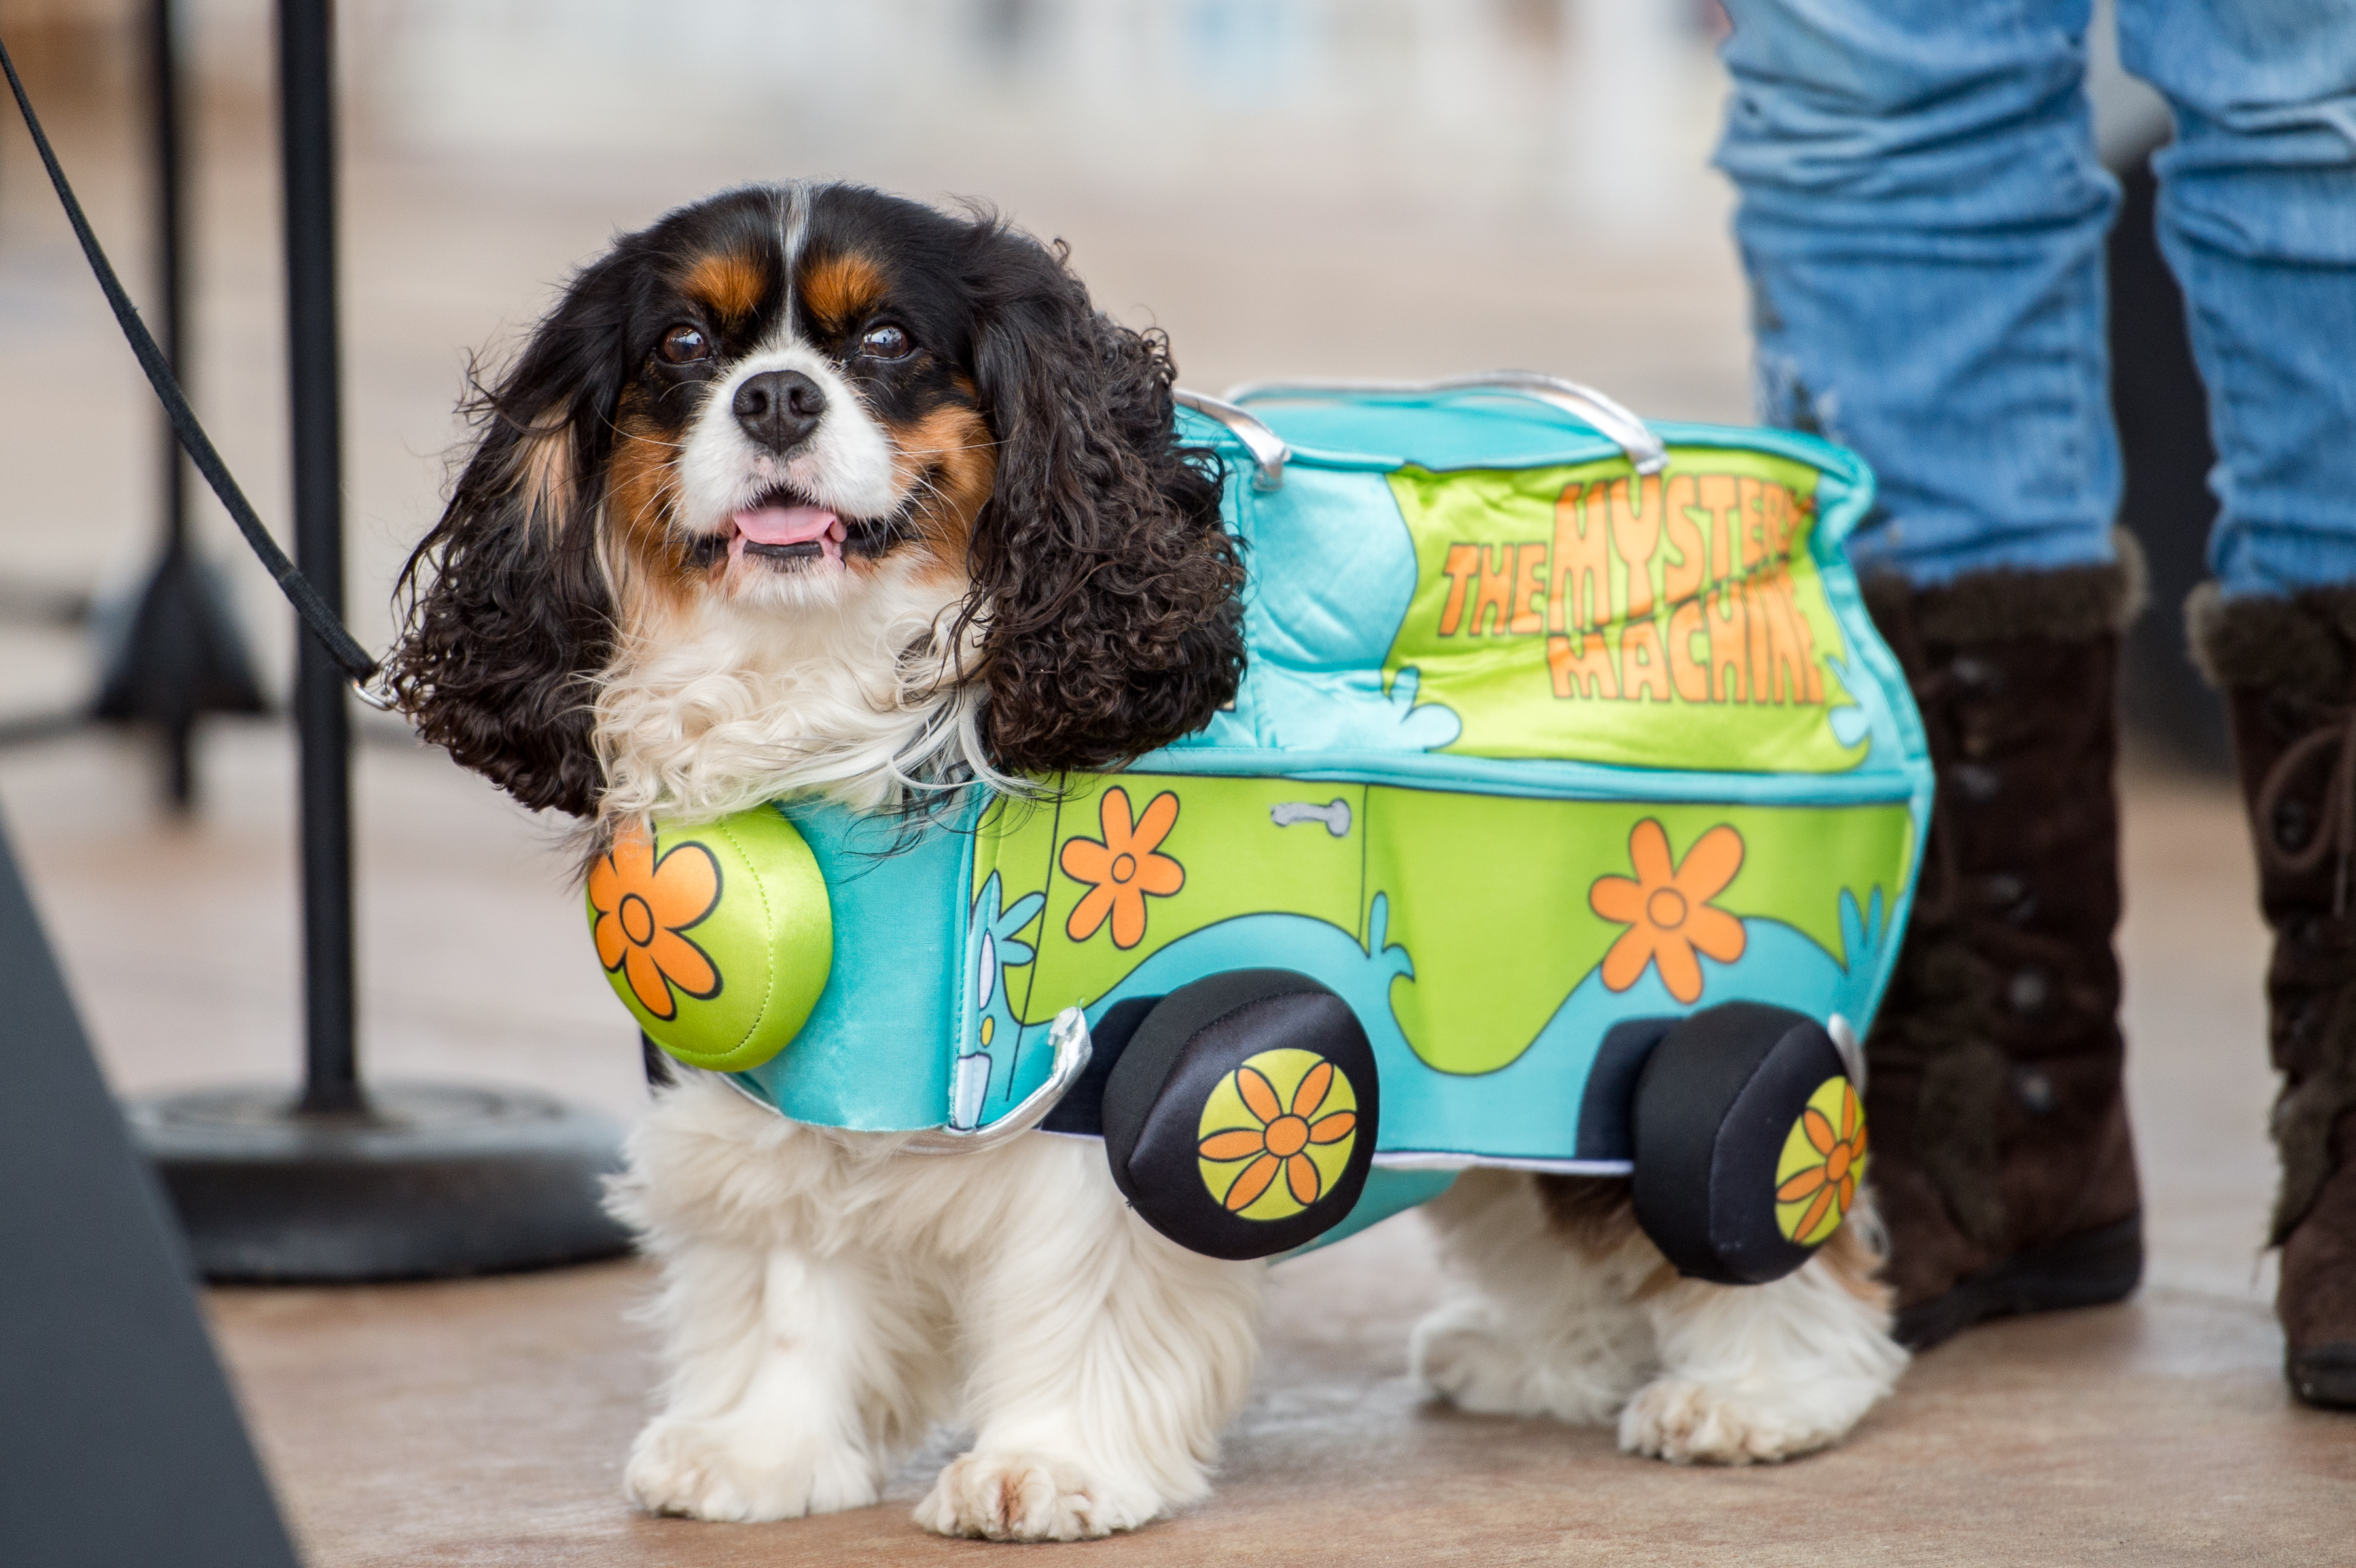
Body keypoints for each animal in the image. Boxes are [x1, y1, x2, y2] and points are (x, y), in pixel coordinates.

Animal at [382, 176, 1894, 1535]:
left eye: (889, 342)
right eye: (689, 347)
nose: (777, 400)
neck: (824, 681)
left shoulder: (1113, 1058)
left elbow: (1087, 1286)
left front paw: (1047, 1467)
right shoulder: (790, 1076)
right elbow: (793, 1268)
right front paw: (764, 1451)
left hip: (1709, 1010)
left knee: (1742, 1186)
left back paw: (1760, 1392)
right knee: (1538, 1181)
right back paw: (1546, 1362)